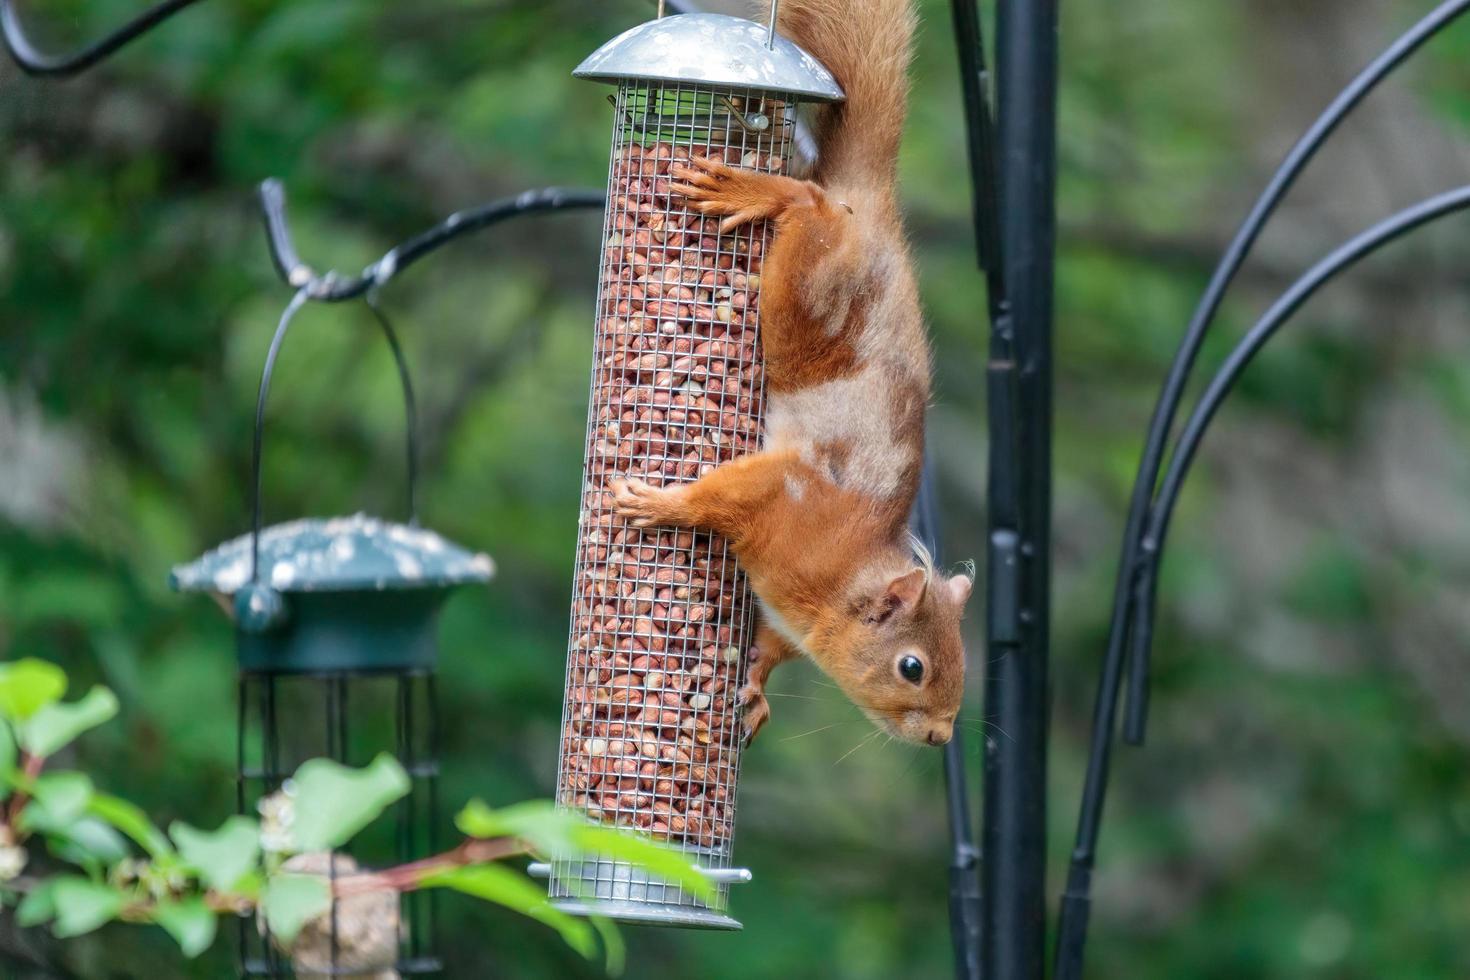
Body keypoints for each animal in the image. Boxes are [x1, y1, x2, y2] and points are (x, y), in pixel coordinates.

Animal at [605, 0, 964, 743]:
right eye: (912, 667)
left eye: (965, 664)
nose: (941, 735)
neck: (843, 576)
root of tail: (870, 204)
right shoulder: (787, 499)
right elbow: (721, 497)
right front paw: (663, 504)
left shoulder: (789, 614)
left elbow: (769, 646)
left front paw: (755, 687)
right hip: (809, 291)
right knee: (810, 205)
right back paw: (758, 189)